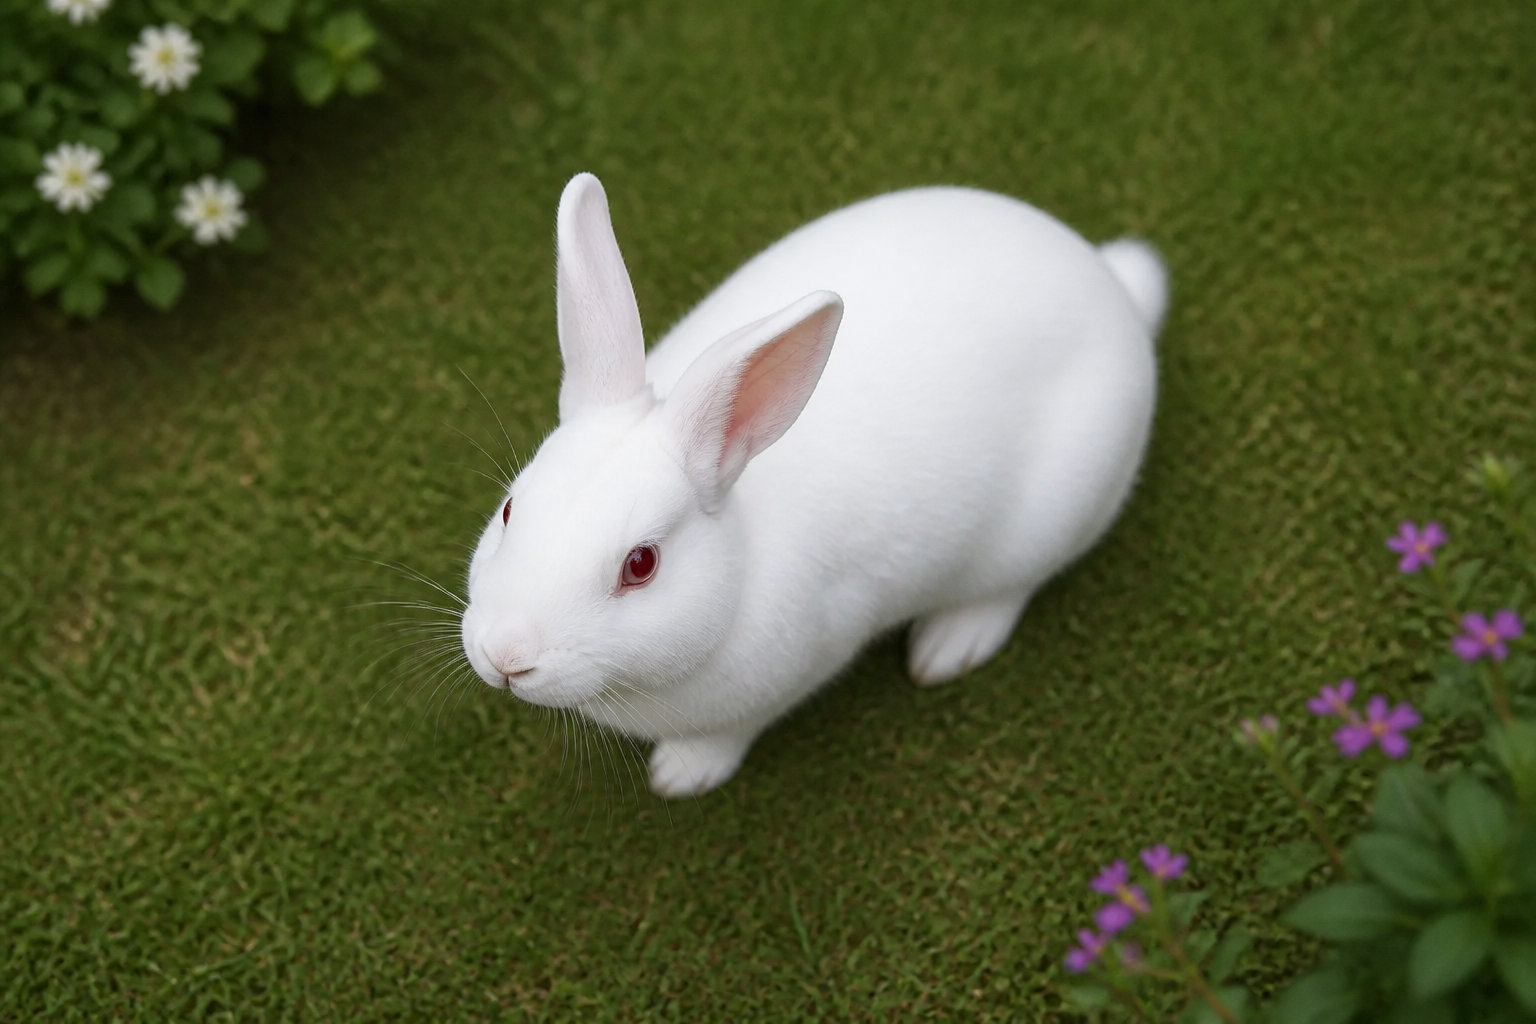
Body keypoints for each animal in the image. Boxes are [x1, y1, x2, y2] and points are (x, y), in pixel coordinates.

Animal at [460, 172, 1166, 798]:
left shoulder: (809, 656)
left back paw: (948, 647)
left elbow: (730, 733)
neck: (740, 552)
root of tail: (1113, 286)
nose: (506, 656)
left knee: (1014, 585)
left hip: (1055, 512)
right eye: (510, 510)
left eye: (641, 565)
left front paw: (681, 775)